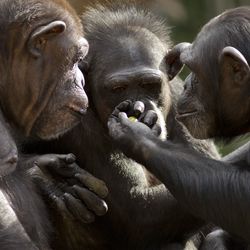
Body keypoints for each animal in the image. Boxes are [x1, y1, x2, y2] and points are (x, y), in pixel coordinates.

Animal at [25, 4, 225, 250]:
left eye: (149, 85)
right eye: (118, 88)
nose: (139, 107)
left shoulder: (184, 98)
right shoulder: (75, 121)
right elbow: (137, 208)